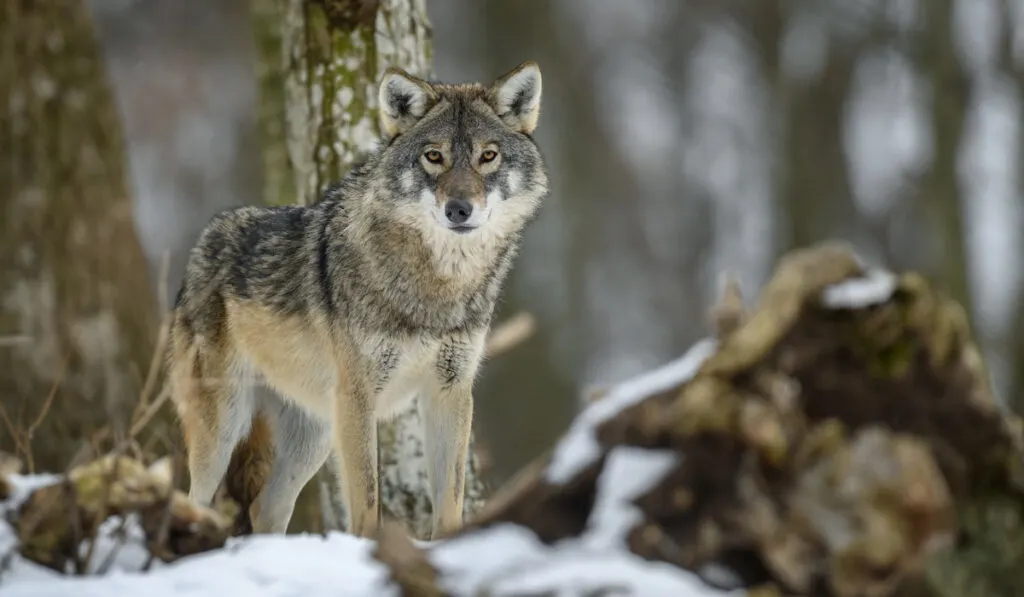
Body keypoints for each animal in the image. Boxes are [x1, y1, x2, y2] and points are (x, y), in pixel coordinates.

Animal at [167, 61, 548, 540]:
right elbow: (367, 504)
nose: (459, 209)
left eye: (488, 156)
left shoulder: (450, 390)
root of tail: (201, 244)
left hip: (313, 435)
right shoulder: (359, 395)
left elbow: (450, 503)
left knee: (263, 510)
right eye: (434, 157)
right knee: (195, 501)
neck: (437, 287)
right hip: (224, 427)